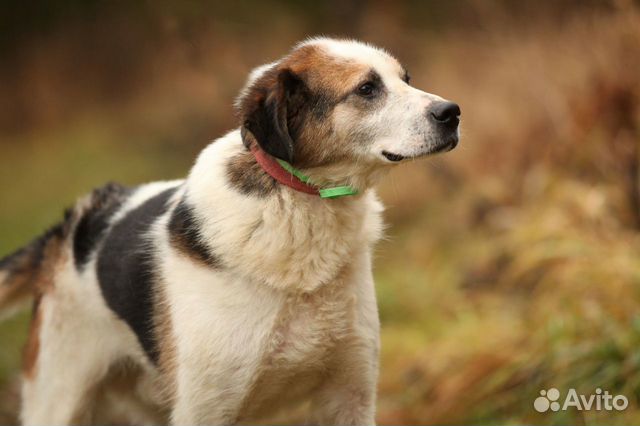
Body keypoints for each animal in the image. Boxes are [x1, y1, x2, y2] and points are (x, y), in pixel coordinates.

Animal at [0, 38, 460, 424]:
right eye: (366, 89)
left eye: (405, 79)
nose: (452, 112)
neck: (297, 207)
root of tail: (71, 224)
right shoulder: (205, 406)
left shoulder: (350, 394)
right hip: (59, 398)